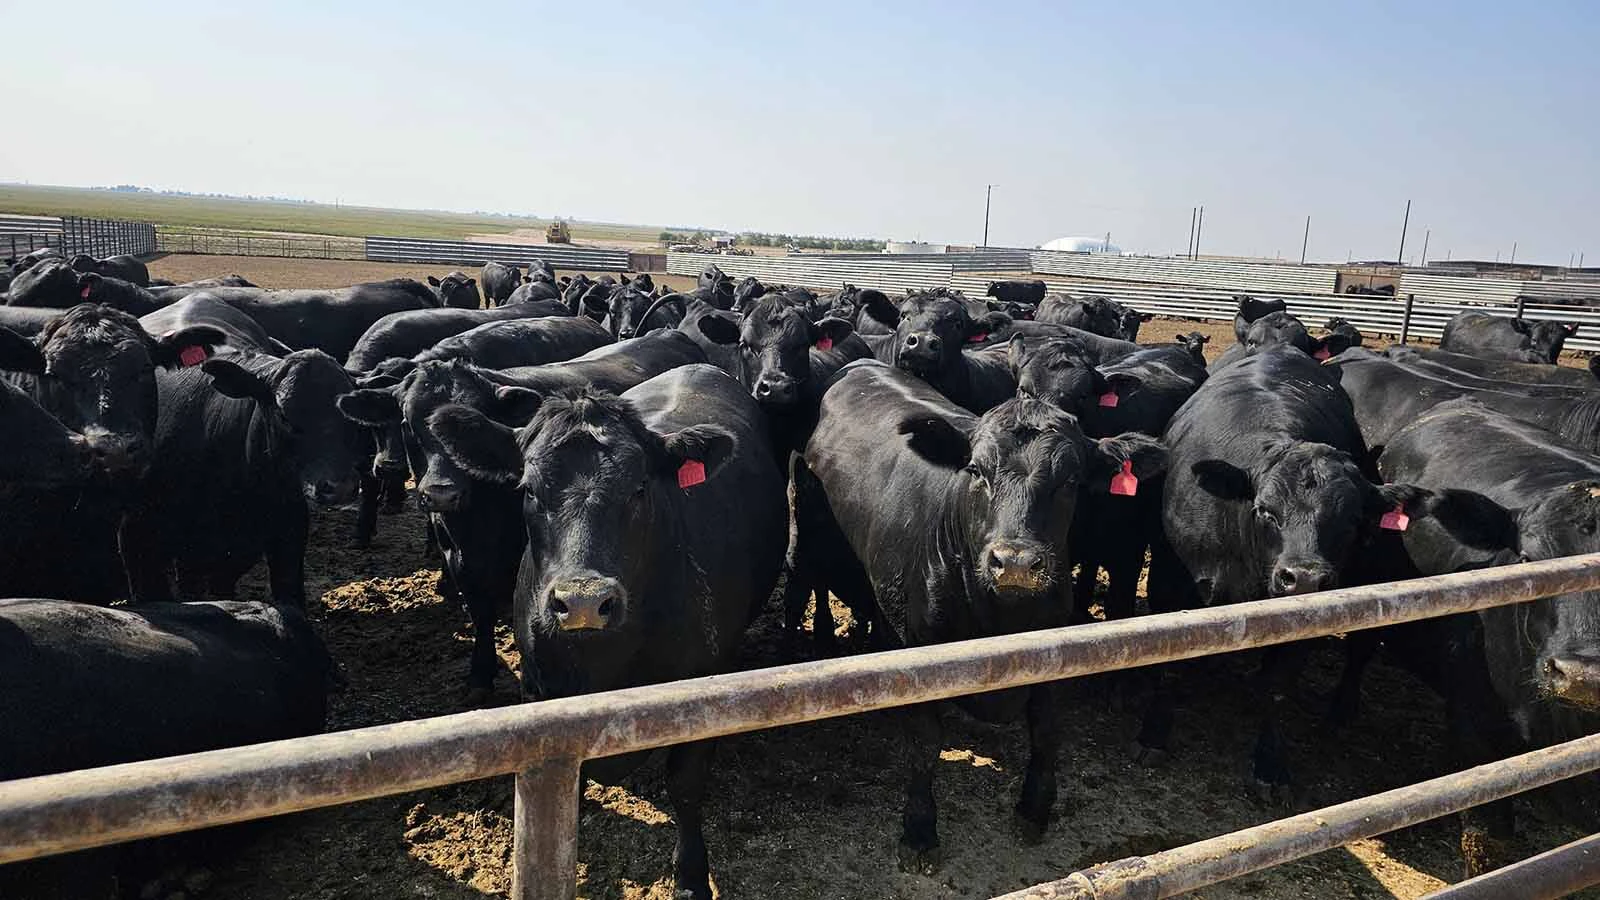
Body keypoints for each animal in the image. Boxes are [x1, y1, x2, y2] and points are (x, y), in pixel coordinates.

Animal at [334, 330, 708, 699]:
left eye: (475, 414)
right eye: (407, 422)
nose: (441, 492)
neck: (476, 525)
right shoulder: (460, 560)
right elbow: (480, 614)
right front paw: (480, 675)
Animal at [425, 364, 786, 899]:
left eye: (639, 487)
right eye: (529, 488)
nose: (582, 602)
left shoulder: (704, 687)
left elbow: (685, 785)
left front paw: (691, 877)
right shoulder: (539, 688)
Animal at [790, 360, 1166, 874]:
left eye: (1070, 480)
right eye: (975, 470)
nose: (1016, 562)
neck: (999, 616)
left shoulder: (1056, 648)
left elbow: (1046, 730)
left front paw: (1034, 808)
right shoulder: (922, 650)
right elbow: (925, 743)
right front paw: (919, 831)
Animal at [1150, 346, 1435, 800]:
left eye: (1353, 520)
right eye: (1266, 511)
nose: (1304, 578)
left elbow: (1278, 687)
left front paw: (1269, 761)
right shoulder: (1170, 582)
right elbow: (1168, 664)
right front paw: (1155, 735)